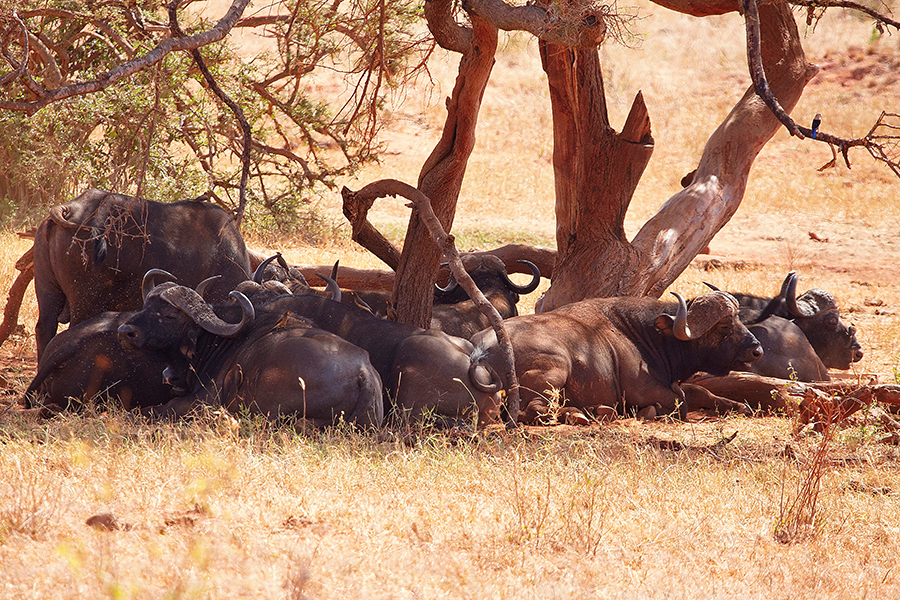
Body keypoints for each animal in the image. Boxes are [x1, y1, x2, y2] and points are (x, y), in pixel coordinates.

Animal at [114, 276, 382, 426]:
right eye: (146, 305)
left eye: (169, 315)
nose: (125, 331)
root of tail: (363, 374)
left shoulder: (200, 401)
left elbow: (150, 410)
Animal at [468, 290, 764, 422]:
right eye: (724, 327)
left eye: (739, 319)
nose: (757, 349)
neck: (649, 334)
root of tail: (483, 348)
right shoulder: (645, 390)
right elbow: (680, 402)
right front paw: (648, 412)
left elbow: (699, 392)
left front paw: (739, 406)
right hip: (555, 369)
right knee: (534, 410)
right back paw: (582, 414)